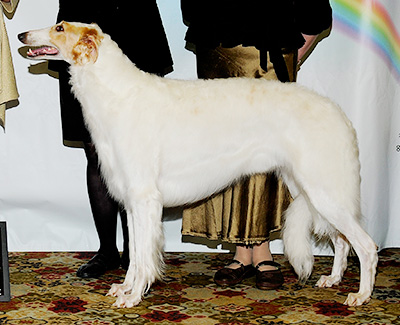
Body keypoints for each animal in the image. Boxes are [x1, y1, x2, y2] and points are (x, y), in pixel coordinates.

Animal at [18, 21, 378, 306]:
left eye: (59, 27)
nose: (21, 34)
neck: (118, 92)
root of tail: (340, 114)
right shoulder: (132, 202)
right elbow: (134, 256)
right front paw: (124, 288)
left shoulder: (145, 199)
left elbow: (143, 258)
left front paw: (133, 297)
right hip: (313, 188)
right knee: (343, 241)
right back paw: (333, 279)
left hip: (323, 189)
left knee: (366, 245)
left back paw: (361, 295)